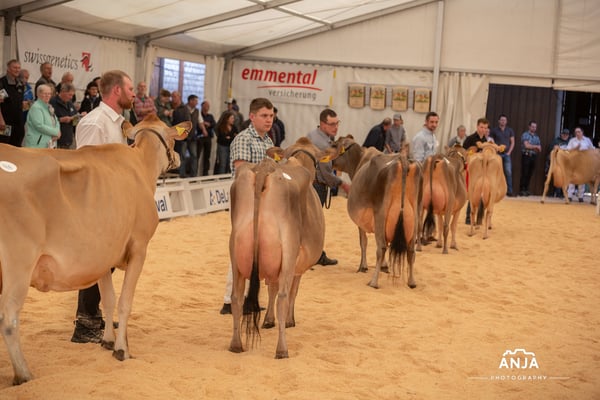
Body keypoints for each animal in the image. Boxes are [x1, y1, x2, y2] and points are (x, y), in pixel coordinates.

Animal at [0, 114, 190, 385]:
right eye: (174, 139)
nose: (177, 158)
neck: (140, 164)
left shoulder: (102, 255)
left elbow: (108, 300)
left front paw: (108, 341)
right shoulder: (140, 247)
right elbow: (125, 301)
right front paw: (122, 349)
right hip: (19, 263)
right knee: (9, 318)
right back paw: (24, 375)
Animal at [228, 138, 327, 359]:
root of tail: (264, 168)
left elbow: (271, 287)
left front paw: (268, 320)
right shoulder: (296, 264)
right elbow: (291, 291)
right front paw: (289, 321)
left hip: (235, 251)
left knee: (236, 297)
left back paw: (236, 345)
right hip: (288, 248)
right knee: (282, 296)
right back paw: (282, 349)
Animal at [331, 136, 422, 289]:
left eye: (336, 145)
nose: (332, 162)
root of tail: (402, 159)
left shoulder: (361, 221)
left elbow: (363, 242)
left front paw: (363, 266)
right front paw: (385, 267)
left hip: (381, 213)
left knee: (381, 247)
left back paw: (374, 281)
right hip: (413, 217)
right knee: (410, 250)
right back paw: (412, 282)